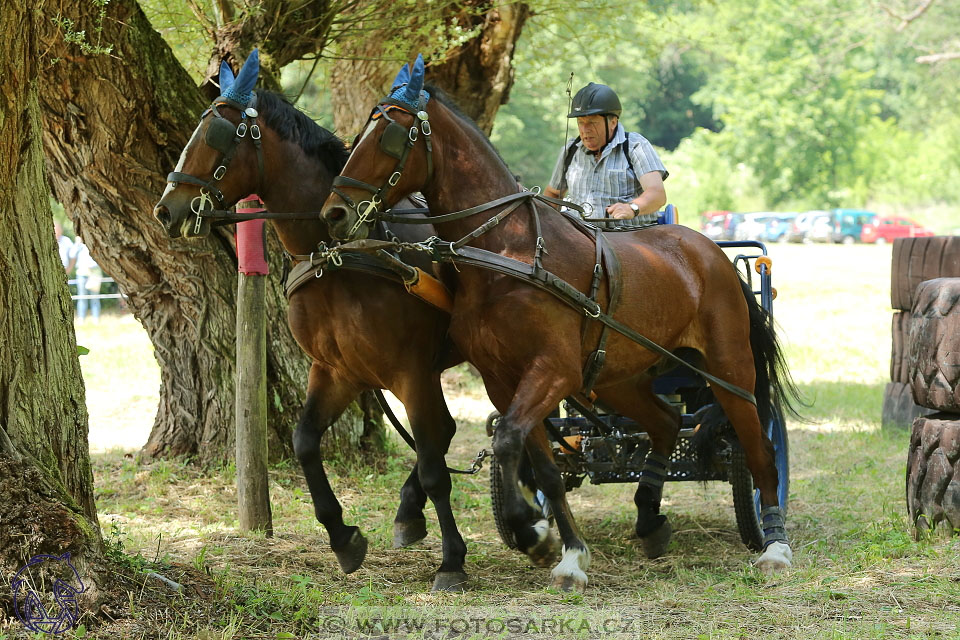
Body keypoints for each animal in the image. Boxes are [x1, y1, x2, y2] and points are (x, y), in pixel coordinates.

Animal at [151, 52, 476, 592]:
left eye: (217, 135)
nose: (165, 209)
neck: (339, 254)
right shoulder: (335, 370)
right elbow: (305, 443)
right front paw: (342, 536)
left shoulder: (411, 372)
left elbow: (433, 464)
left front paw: (452, 559)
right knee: (445, 431)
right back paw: (408, 514)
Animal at [322, 55, 804, 592]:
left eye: (389, 134)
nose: (333, 212)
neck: (509, 249)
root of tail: (712, 253)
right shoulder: (504, 380)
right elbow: (539, 464)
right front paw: (561, 548)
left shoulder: (553, 369)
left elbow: (508, 440)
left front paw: (532, 531)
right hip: (620, 378)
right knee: (664, 422)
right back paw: (649, 518)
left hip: (729, 369)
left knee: (760, 448)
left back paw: (775, 545)